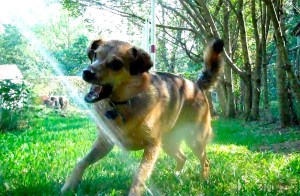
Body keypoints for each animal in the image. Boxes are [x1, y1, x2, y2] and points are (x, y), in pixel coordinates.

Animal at [61, 38, 225, 194]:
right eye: (95, 55)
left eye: (116, 64)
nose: (87, 72)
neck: (123, 103)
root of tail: (197, 86)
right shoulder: (105, 142)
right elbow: (81, 162)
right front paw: (69, 186)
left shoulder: (152, 146)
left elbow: (139, 175)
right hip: (168, 144)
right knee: (182, 157)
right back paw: (177, 176)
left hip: (194, 140)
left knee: (205, 161)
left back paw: (203, 181)